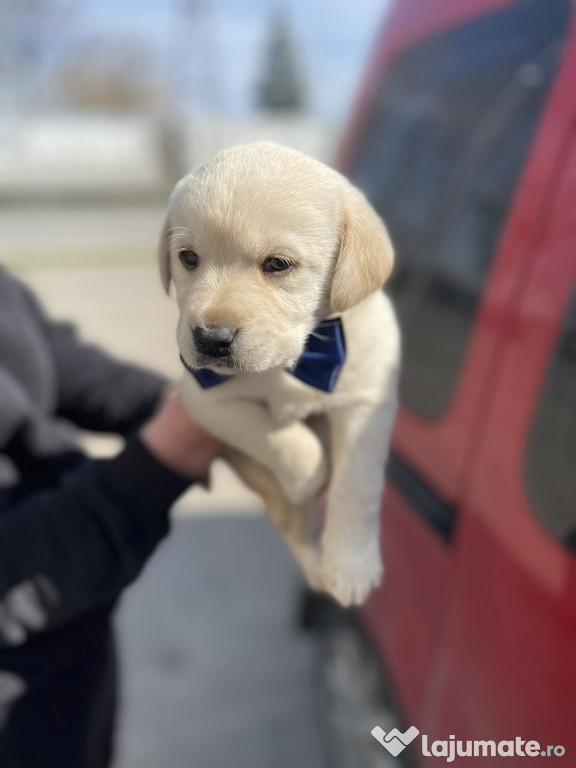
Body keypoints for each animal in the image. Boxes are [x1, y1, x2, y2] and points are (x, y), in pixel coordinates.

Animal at [159, 141, 400, 604]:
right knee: (296, 529)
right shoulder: (206, 398)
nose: (210, 339)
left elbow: (357, 486)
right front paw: (309, 477)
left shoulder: (368, 402)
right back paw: (316, 571)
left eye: (277, 264)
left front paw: (351, 566)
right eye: (189, 258)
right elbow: (284, 439)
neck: (297, 360)